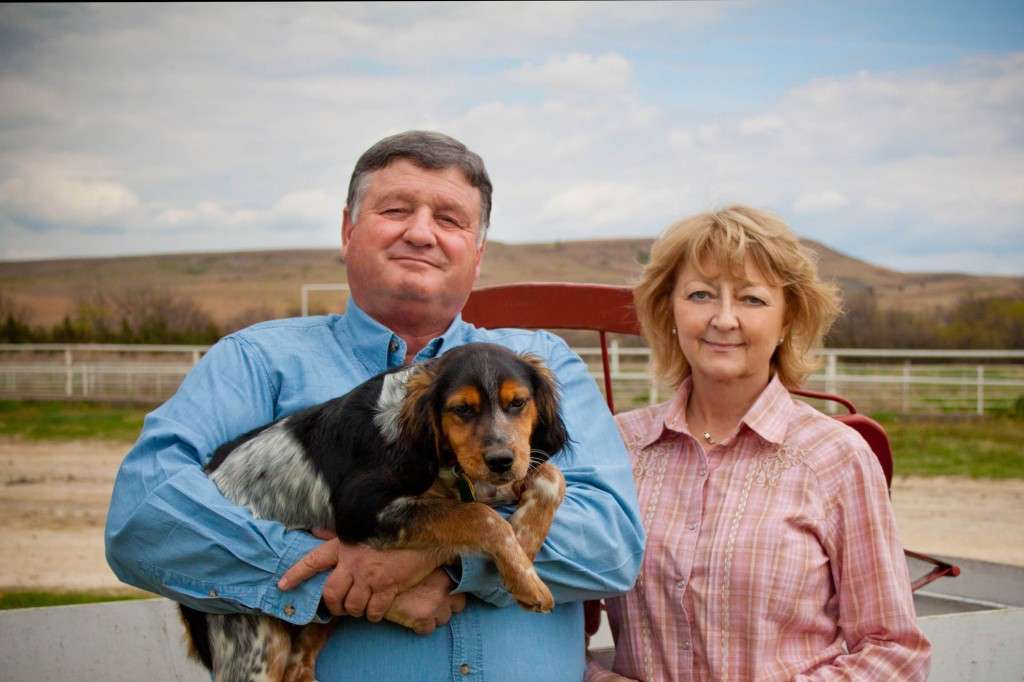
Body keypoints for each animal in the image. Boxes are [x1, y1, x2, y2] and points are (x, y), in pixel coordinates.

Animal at [182, 342, 569, 679]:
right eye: (461, 409)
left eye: (518, 403)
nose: (501, 461)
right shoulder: (359, 508)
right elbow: (480, 517)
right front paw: (527, 580)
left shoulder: (488, 479)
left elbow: (552, 476)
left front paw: (524, 543)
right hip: (255, 646)